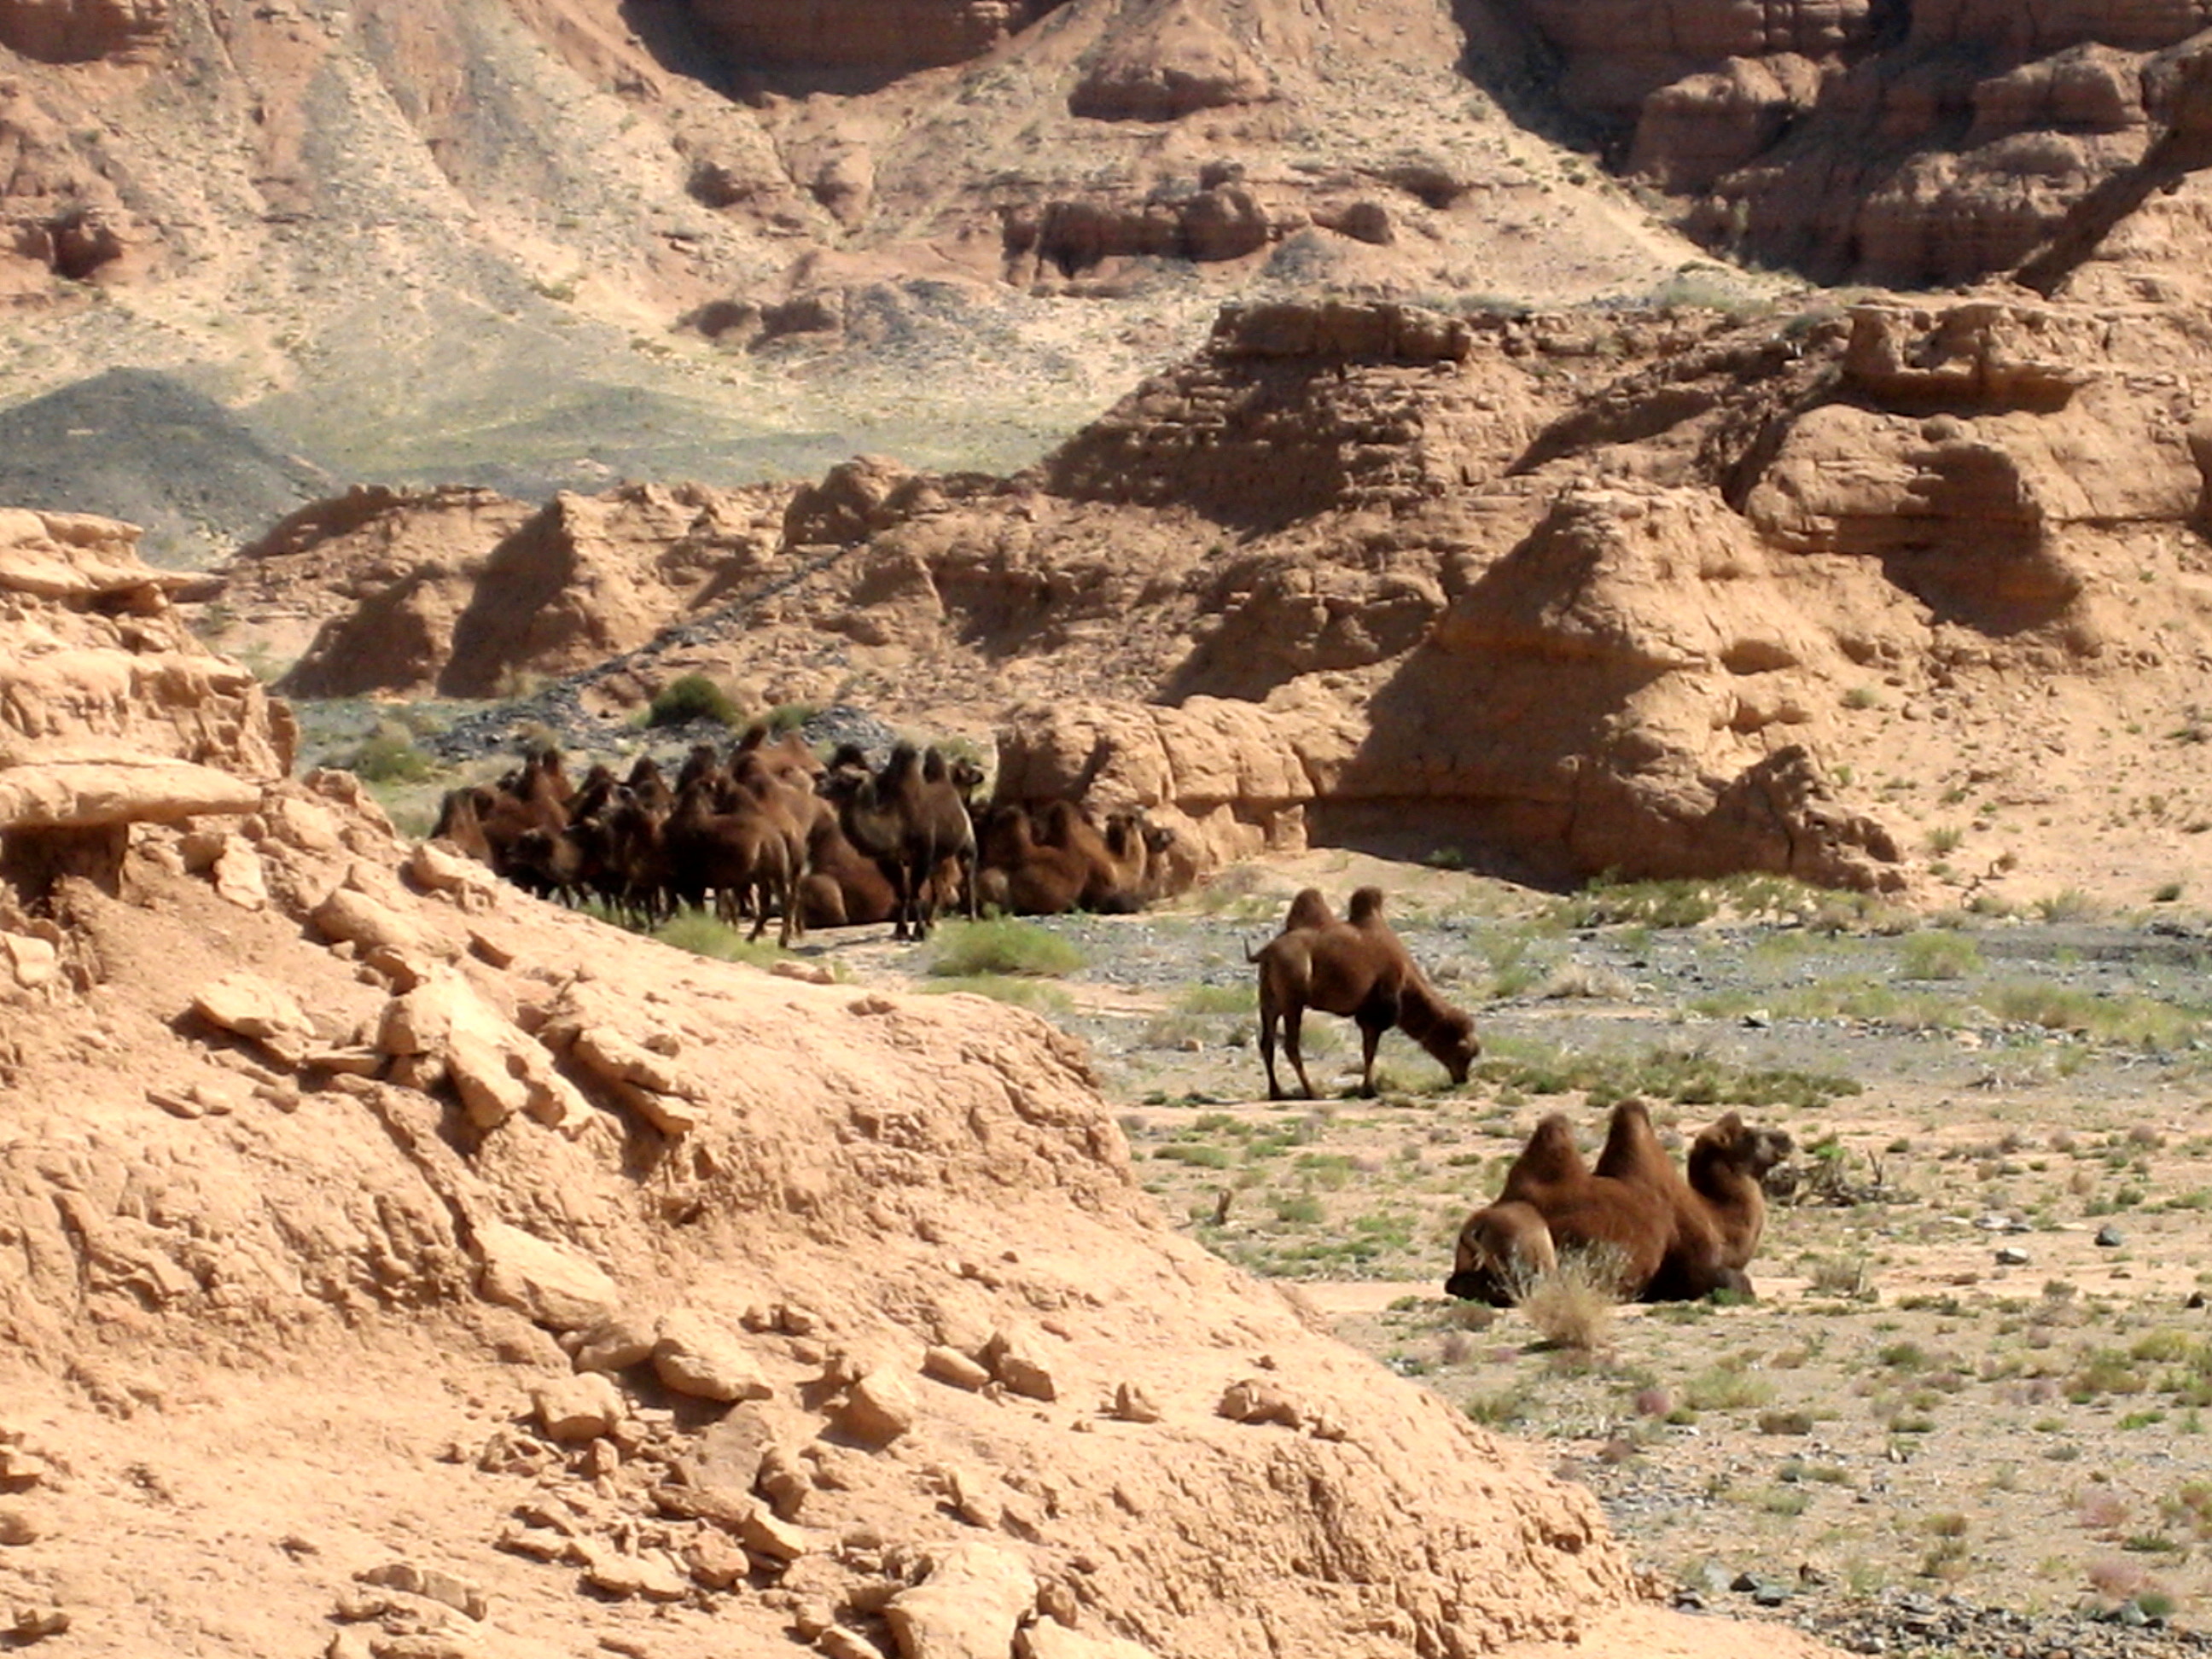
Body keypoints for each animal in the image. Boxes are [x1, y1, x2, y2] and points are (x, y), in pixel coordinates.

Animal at [1248, 885, 1478, 1099]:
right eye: (1463, 1051)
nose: (1462, 1079)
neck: (1406, 980)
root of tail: (1266, 952)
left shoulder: (1366, 1012)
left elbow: (1368, 1050)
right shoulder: (1375, 1011)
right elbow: (1370, 1051)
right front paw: (1369, 1090)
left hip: (1269, 1001)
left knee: (1267, 1043)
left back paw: (1276, 1092)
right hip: (1293, 1002)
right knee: (1290, 1046)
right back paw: (1312, 1092)